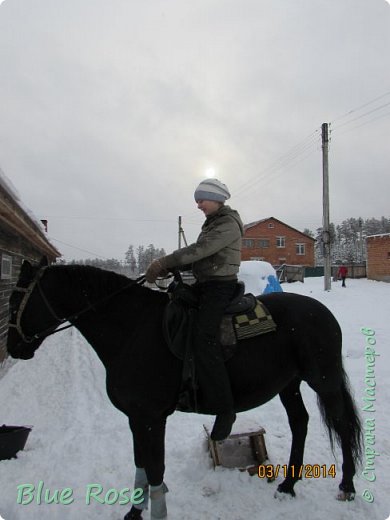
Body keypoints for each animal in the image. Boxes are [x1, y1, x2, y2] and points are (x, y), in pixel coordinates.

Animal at [6, 260, 362, 520]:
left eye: (14, 299)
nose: (12, 347)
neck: (132, 329)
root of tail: (323, 313)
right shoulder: (136, 418)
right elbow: (140, 464)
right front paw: (135, 512)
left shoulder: (151, 418)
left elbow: (155, 468)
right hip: (289, 384)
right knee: (300, 423)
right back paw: (288, 484)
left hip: (324, 379)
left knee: (343, 425)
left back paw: (346, 486)